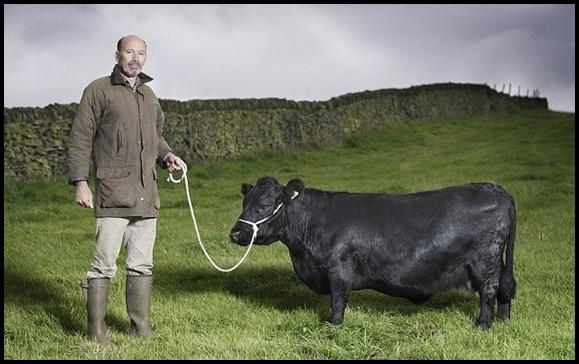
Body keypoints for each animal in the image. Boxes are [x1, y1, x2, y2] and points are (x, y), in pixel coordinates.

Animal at [229, 177, 520, 330]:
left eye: (265, 204)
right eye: (244, 203)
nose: (235, 233)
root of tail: (493, 188)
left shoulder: (338, 270)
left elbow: (338, 300)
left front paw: (334, 325)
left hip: (485, 261)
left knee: (490, 290)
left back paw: (484, 324)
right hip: (497, 261)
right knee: (503, 291)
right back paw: (503, 322)